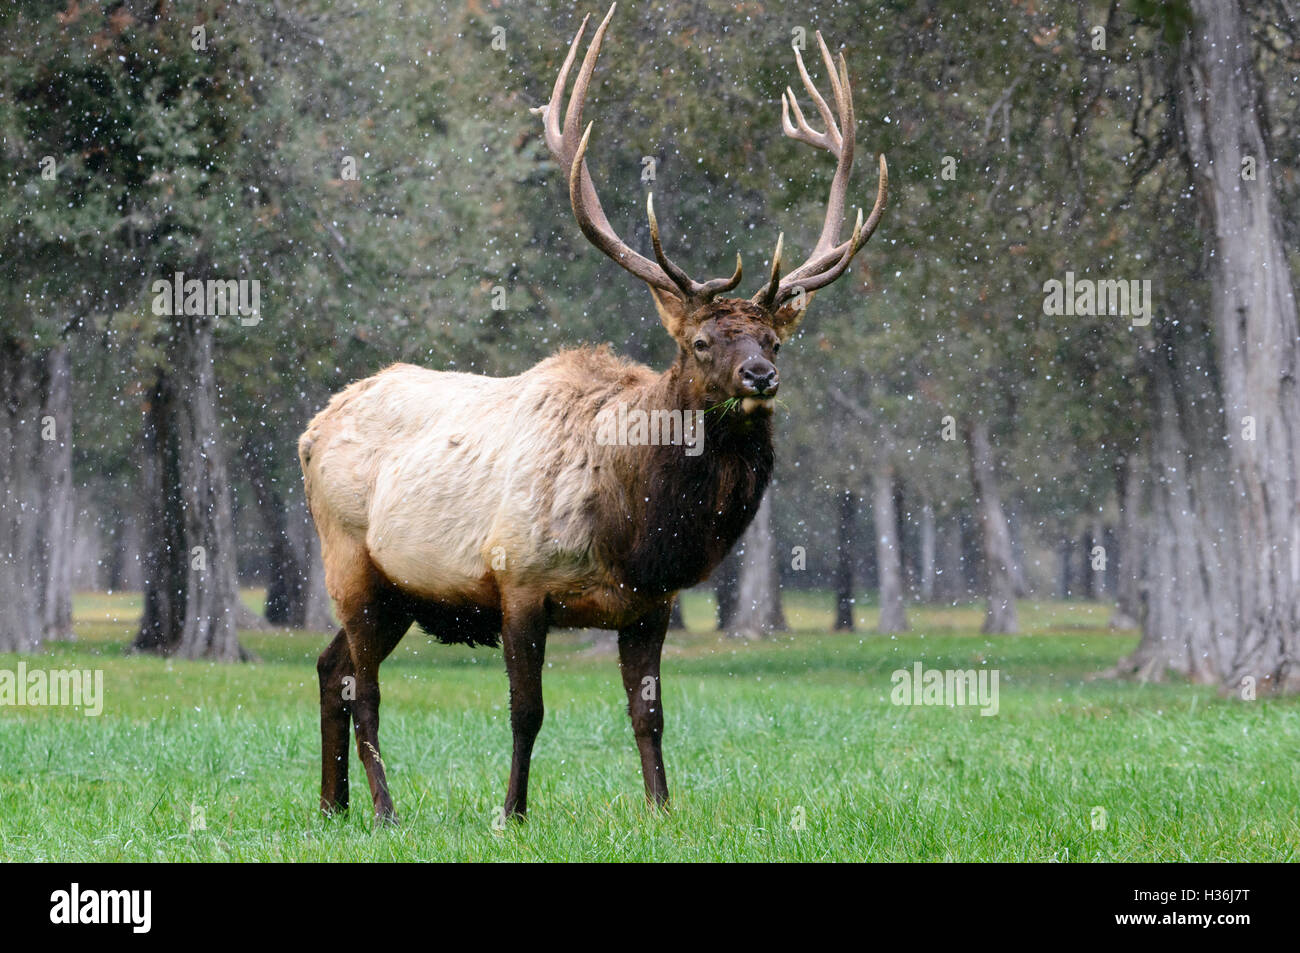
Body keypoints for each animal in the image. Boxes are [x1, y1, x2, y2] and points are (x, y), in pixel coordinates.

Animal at [298, 3, 886, 823]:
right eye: (701, 341)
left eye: (774, 338)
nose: (761, 375)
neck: (633, 528)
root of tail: (312, 427)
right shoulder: (517, 578)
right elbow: (527, 711)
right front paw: (511, 814)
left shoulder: (649, 604)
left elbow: (649, 712)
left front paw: (662, 810)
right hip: (349, 558)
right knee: (366, 689)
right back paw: (384, 810)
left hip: (398, 592)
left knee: (330, 669)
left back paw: (333, 806)